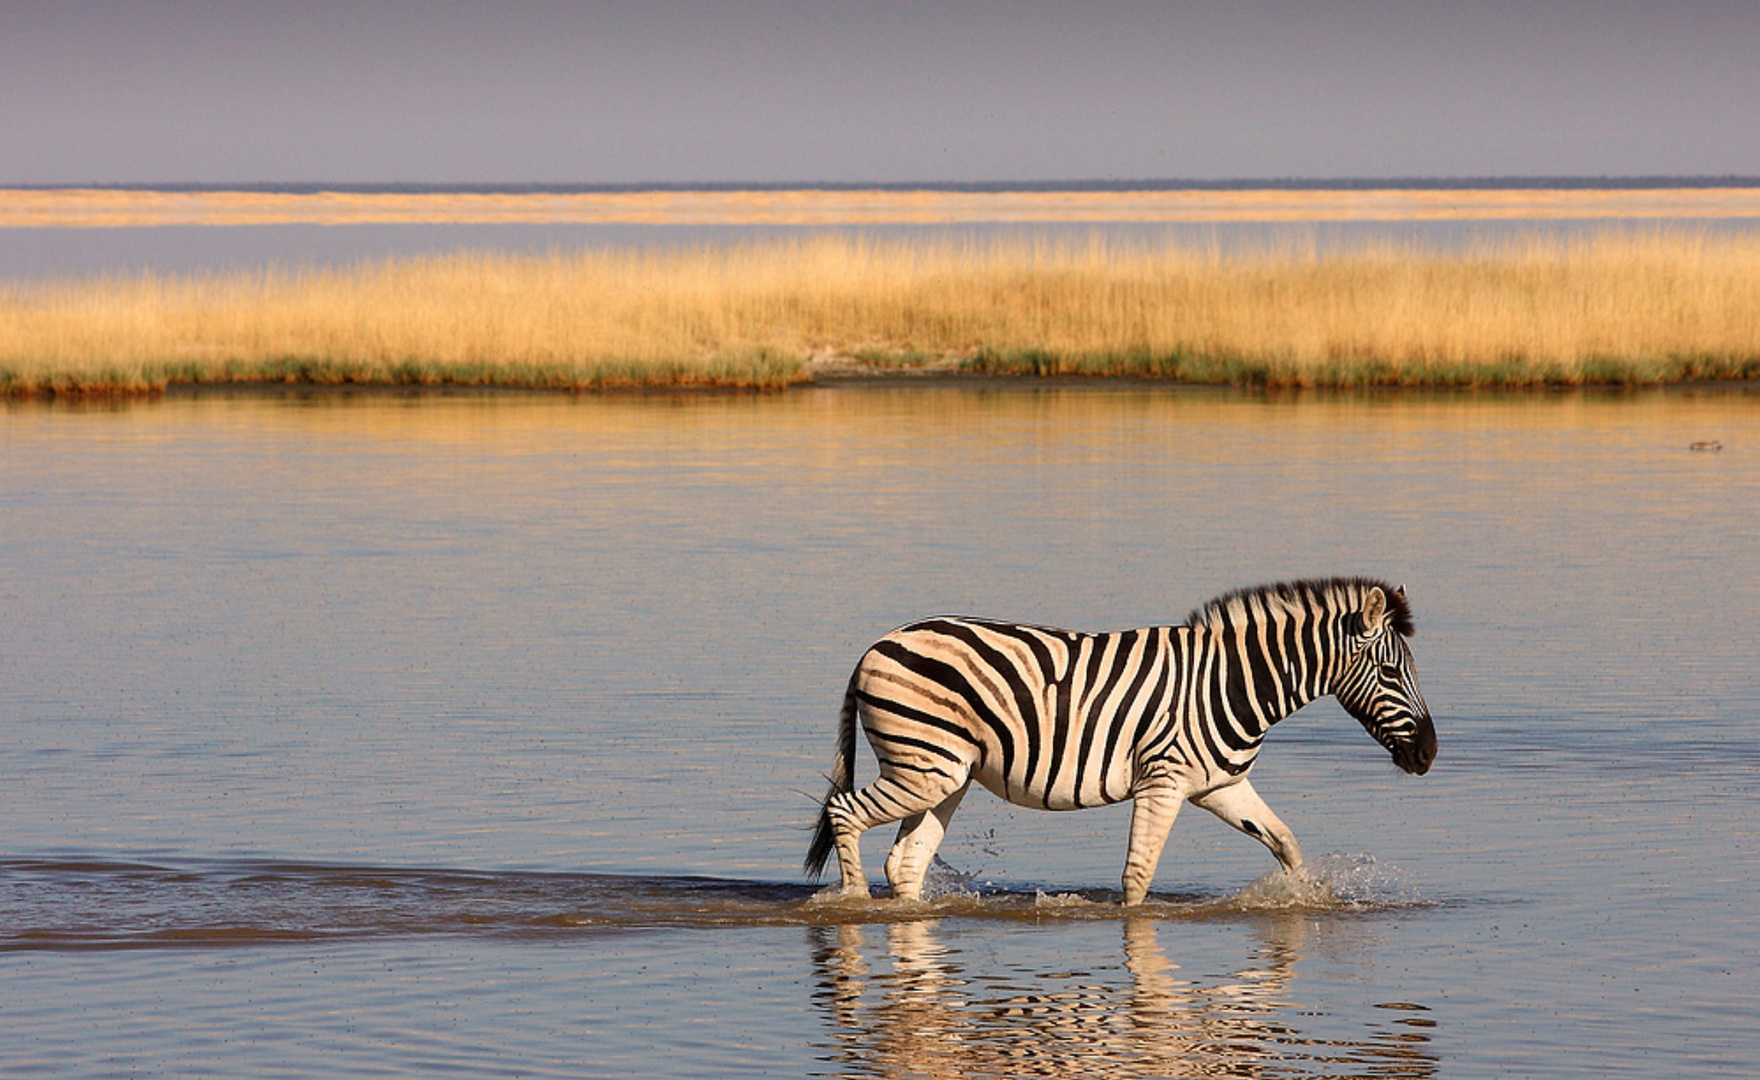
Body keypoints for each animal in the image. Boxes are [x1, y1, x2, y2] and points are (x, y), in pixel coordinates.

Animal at [806, 580, 1436, 907]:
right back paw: (852, 905)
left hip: (945, 775)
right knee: (844, 811)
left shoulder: (1222, 786)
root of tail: (875, 646)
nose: (1430, 754)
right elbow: (1138, 876)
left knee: (905, 861)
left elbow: (1286, 844)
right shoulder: (1164, 781)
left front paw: (1299, 902)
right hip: (921, 768)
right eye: (1389, 672)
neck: (1232, 683)